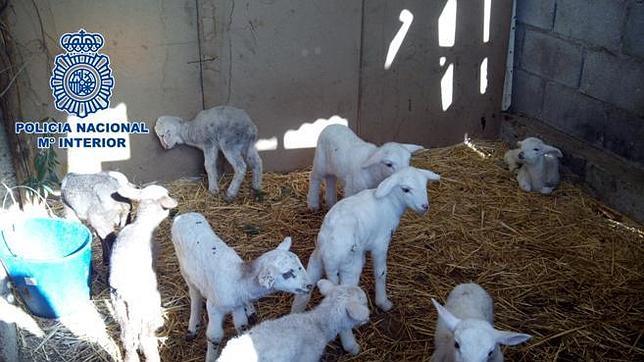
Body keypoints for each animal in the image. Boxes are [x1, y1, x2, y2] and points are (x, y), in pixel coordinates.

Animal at [108, 185, 177, 360]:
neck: (142, 223)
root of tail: (123, 291)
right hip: (142, 306)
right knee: (144, 337)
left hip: (119, 307)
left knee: (127, 336)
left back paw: (130, 357)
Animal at [294, 165, 440, 354]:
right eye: (405, 189)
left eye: (425, 185)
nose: (425, 206)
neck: (391, 203)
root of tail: (330, 254)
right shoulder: (381, 242)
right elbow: (381, 273)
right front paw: (383, 302)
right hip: (349, 267)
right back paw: (351, 345)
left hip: (316, 260)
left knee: (302, 295)